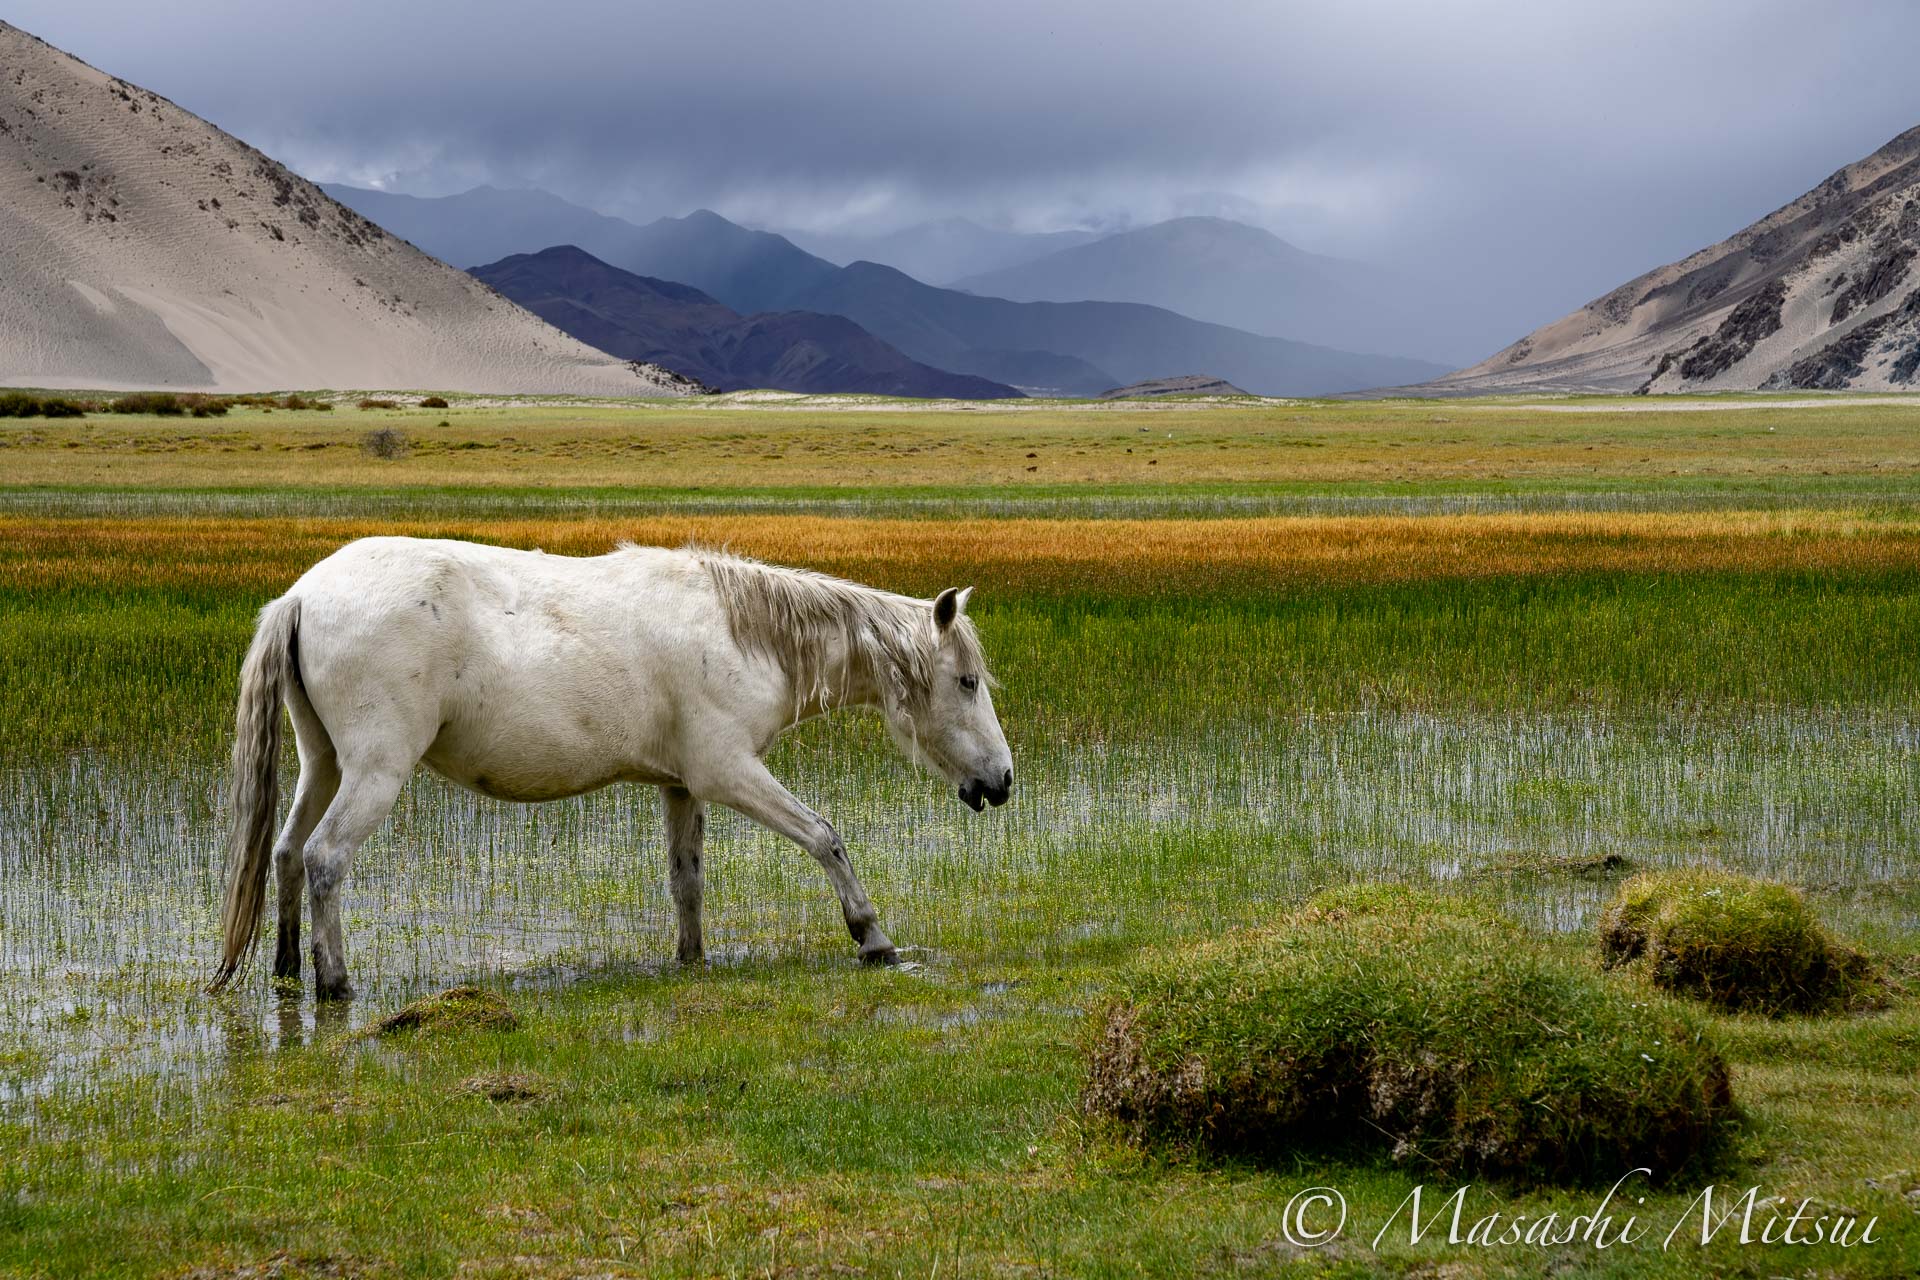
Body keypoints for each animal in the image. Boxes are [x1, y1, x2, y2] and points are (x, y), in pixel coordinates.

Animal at [206, 537, 1021, 997]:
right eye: (966, 682)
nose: (1003, 781)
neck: (741, 631)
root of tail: (303, 593)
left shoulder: (683, 787)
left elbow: (687, 881)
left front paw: (692, 960)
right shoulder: (729, 772)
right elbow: (825, 836)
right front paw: (872, 937)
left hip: (323, 766)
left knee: (286, 853)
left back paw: (286, 971)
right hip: (375, 772)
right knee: (324, 858)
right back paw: (335, 983)